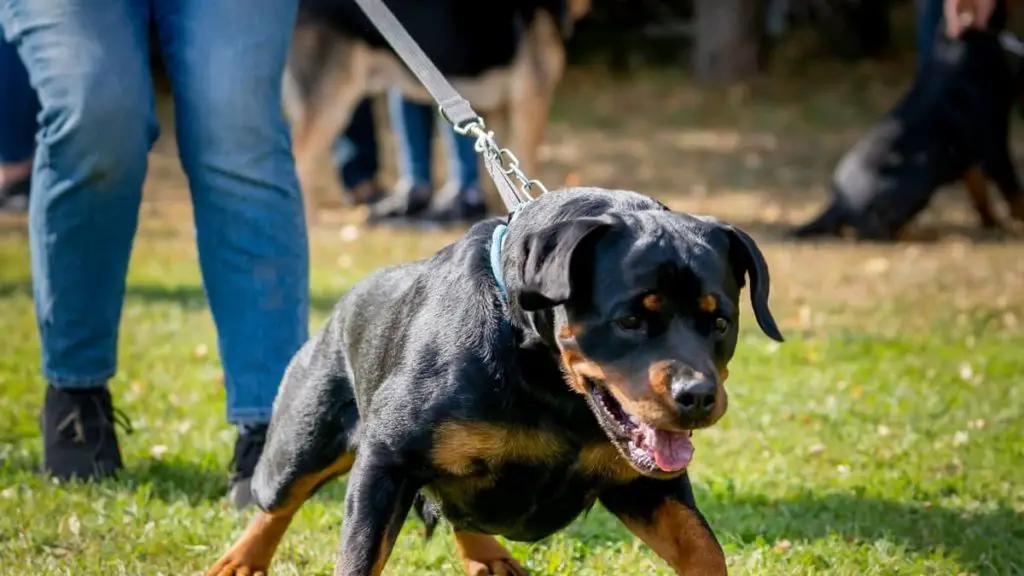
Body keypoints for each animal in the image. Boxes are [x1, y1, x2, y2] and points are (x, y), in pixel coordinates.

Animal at [205, 187, 782, 573]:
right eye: (630, 320)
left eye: (721, 323)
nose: (698, 396)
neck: (551, 384)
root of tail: (342, 306)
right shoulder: (387, 461)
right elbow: (358, 559)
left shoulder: (645, 484)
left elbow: (702, 546)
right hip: (305, 436)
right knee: (277, 499)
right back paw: (241, 560)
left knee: (457, 508)